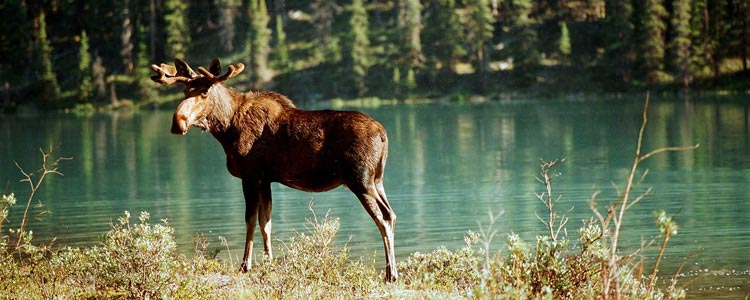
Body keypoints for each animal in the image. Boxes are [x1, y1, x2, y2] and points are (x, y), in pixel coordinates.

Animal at [151, 58, 400, 282]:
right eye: (185, 92)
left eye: (204, 93)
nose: (178, 123)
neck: (226, 129)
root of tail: (383, 135)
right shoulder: (266, 179)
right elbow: (266, 222)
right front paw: (269, 262)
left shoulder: (250, 175)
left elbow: (250, 220)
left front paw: (246, 265)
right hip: (377, 180)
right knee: (391, 214)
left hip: (361, 181)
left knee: (384, 217)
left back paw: (391, 274)